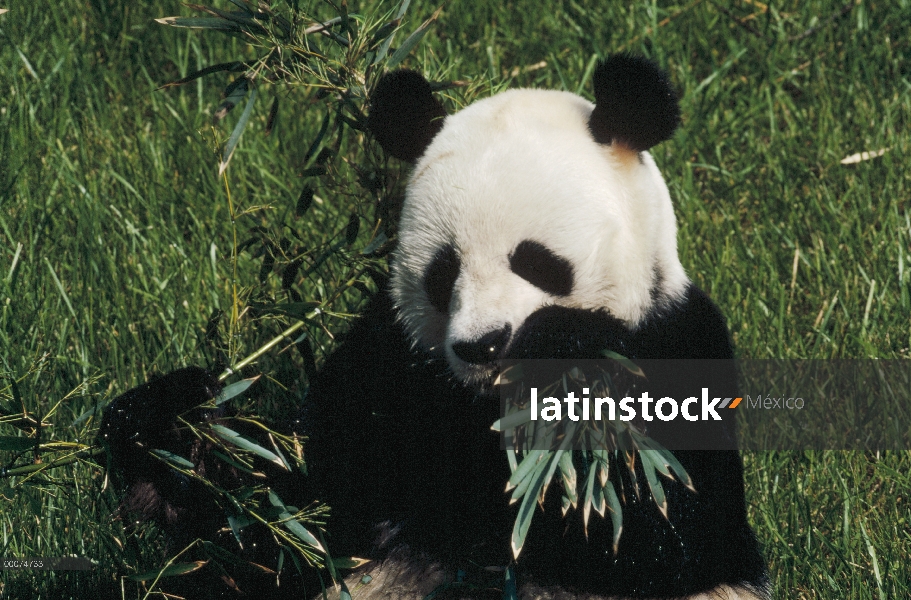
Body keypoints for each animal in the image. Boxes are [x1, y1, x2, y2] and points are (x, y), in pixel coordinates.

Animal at [100, 52, 768, 600]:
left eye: (537, 261)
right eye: (444, 272)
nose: (483, 346)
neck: (484, 411)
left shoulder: (676, 342)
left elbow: (661, 523)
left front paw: (561, 357)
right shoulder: (389, 361)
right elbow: (300, 518)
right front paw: (174, 427)